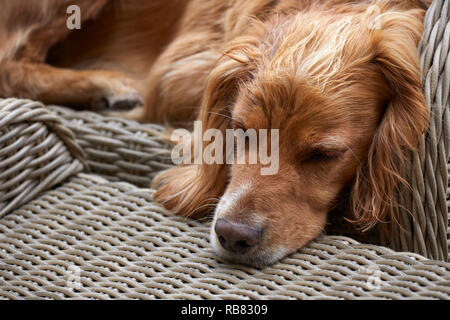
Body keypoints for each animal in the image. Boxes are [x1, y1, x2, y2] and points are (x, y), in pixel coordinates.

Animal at [0, 0, 428, 266]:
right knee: (12, 63)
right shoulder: (175, 72)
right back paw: (107, 85)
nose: (232, 235)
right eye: (241, 132)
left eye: (324, 155)